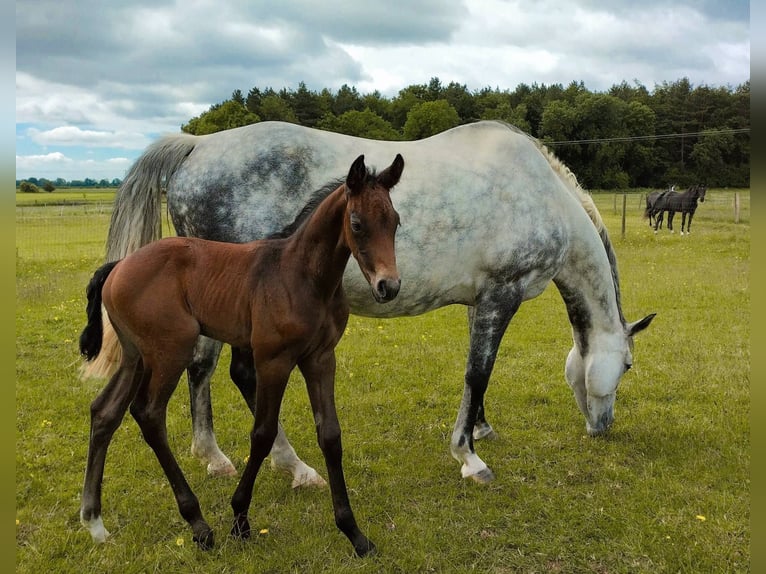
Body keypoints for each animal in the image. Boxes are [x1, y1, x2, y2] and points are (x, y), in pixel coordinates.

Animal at [78, 153, 404, 556]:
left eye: (395, 221)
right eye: (357, 223)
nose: (388, 286)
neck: (303, 276)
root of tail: (119, 266)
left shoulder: (321, 358)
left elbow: (330, 435)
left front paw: (354, 533)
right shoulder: (273, 361)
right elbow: (262, 434)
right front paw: (240, 519)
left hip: (136, 355)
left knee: (104, 411)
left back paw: (95, 523)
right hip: (171, 350)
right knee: (148, 414)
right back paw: (198, 524)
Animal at [83, 120, 655, 486]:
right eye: (627, 365)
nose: (602, 428)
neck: (541, 195)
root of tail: (198, 146)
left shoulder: (480, 302)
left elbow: (477, 374)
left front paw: (480, 429)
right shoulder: (501, 296)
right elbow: (479, 372)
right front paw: (468, 457)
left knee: (201, 369)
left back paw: (215, 458)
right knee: (235, 374)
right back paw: (293, 467)